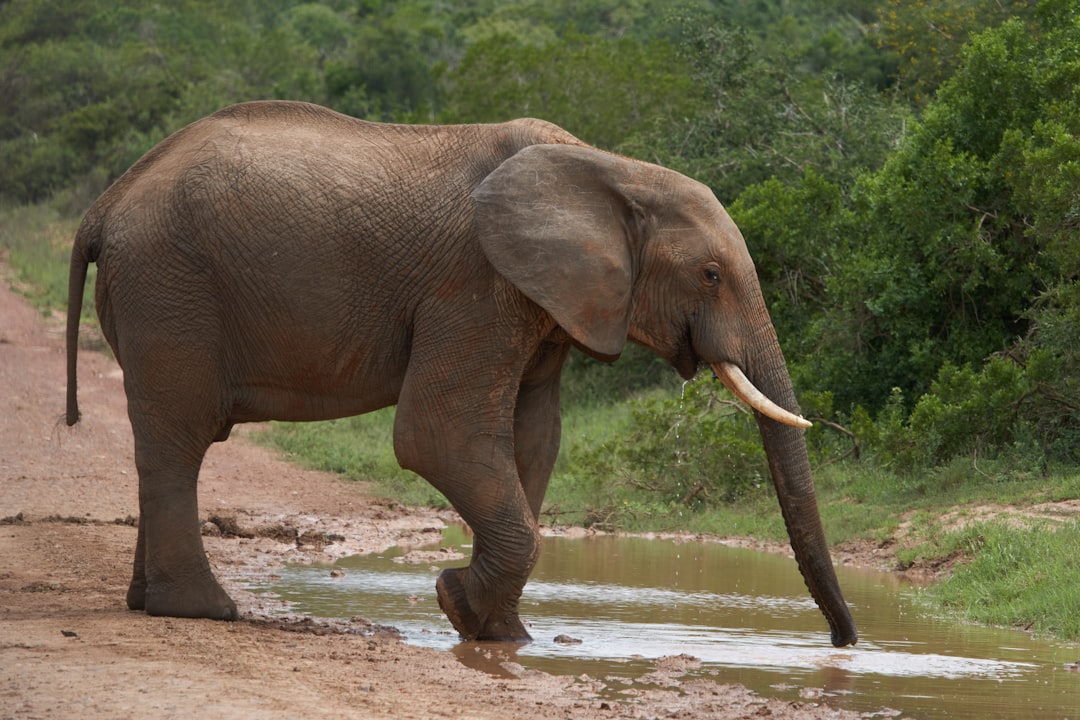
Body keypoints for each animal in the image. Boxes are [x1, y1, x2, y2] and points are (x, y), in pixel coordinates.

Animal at [65, 99, 859, 647]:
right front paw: (460, 605)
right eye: (711, 274)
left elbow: (533, 440)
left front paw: (496, 630)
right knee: (181, 438)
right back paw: (206, 611)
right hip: (171, 288)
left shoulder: (542, 301)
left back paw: (148, 603)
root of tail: (103, 204)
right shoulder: (475, 283)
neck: (611, 168)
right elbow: (436, 437)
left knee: (164, 442)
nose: (845, 642)